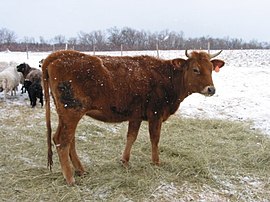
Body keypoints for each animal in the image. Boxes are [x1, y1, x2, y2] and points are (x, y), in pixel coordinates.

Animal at [41, 49, 224, 185]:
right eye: (195, 69)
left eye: (210, 69)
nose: (211, 89)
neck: (168, 78)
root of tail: (60, 54)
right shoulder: (155, 114)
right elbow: (154, 138)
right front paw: (156, 162)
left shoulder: (135, 115)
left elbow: (131, 137)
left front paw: (125, 161)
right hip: (72, 111)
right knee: (62, 140)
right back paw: (70, 178)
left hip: (66, 113)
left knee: (67, 139)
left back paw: (80, 170)